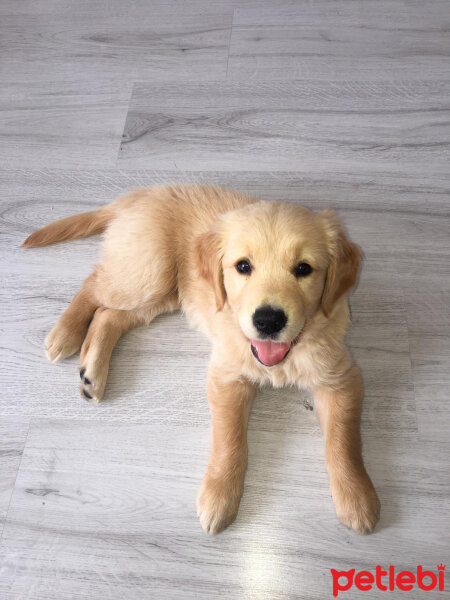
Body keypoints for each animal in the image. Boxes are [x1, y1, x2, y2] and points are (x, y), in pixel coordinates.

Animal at [22, 183, 380, 536]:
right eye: (243, 266)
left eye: (304, 269)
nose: (268, 321)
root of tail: (143, 193)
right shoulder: (227, 375)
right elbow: (229, 440)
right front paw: (219, 496)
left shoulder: (340, 378)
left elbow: (343, 442)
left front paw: (357, 496)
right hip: (150, 272)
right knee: (94, 285)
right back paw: (65, 333)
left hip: (165, 293)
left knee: (108, 315)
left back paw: (91, 374)